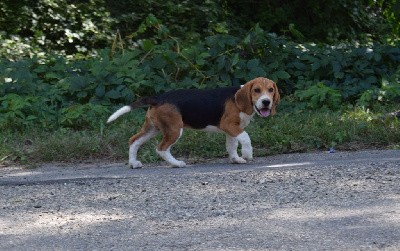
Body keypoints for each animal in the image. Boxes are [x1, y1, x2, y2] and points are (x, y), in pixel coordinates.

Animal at [108, 76, 280, 167]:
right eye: (256, 90)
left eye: (271, 90)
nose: (266, 102)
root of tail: (158, 98)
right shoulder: (229, 125)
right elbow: (245, 138)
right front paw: (247, 153)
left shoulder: (232, 130)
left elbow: (231, 146)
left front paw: (236, 159)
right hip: (174, 129)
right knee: (161, 148)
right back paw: (177, 163)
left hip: (152, 128)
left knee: (133, 141)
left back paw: (133, 163)